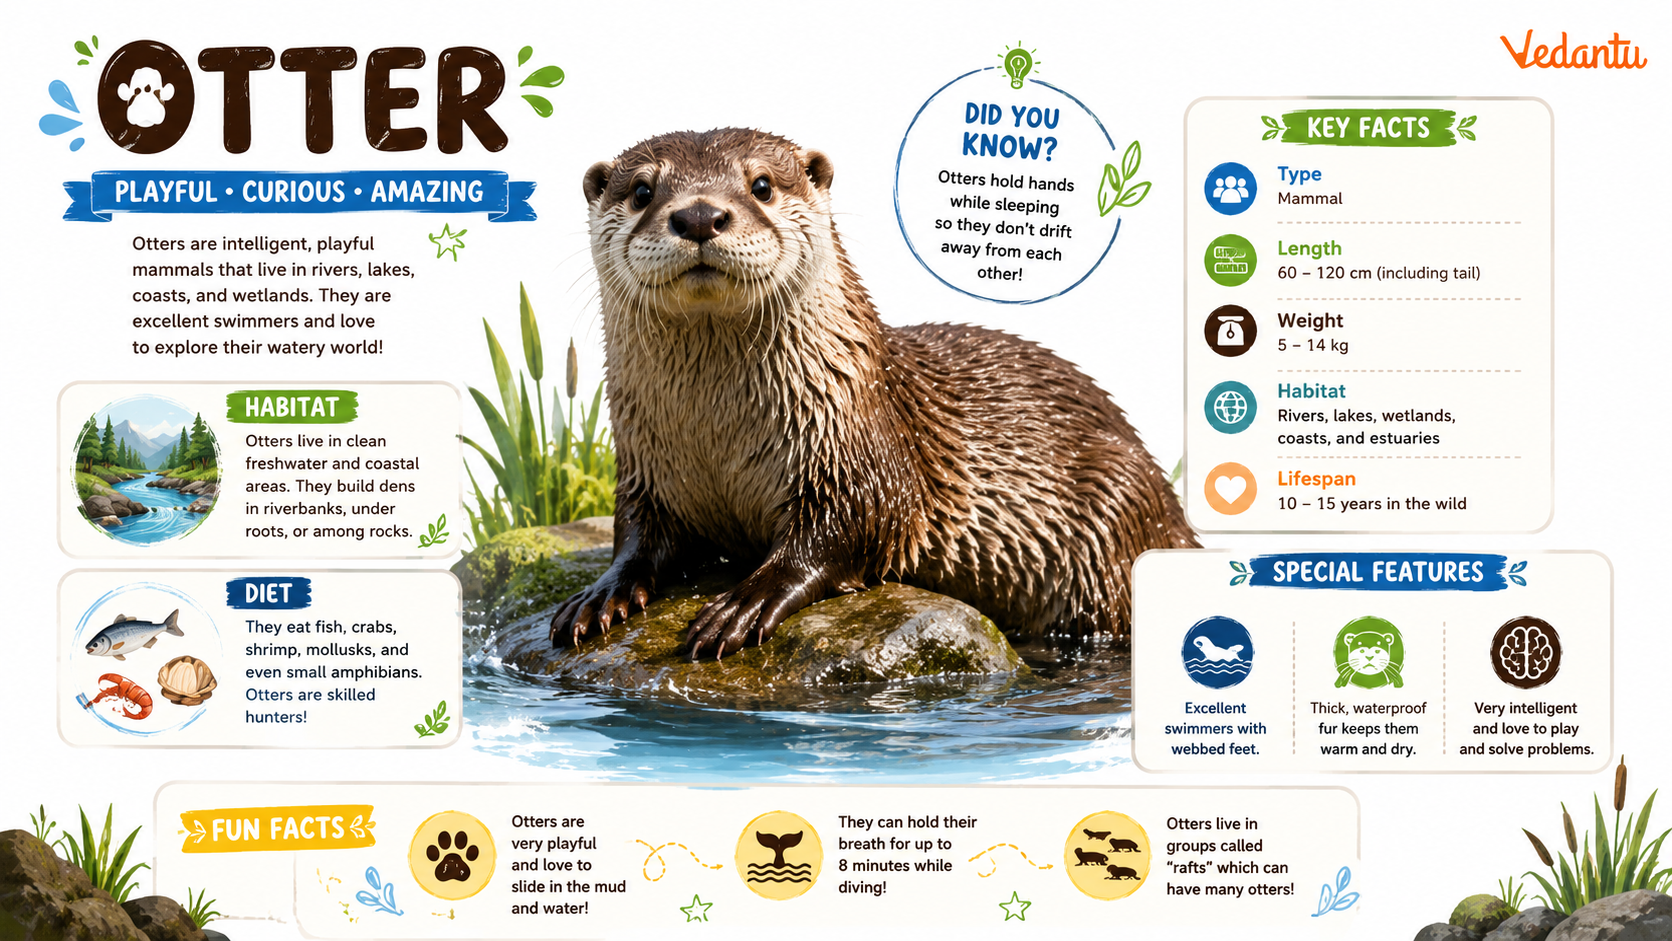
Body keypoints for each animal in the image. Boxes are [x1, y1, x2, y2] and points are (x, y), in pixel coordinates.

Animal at [549, 128, 1197, 660]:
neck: (716, 437)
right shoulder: (645, 469)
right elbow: (635, 537)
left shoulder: (860, 456)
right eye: (641, 190)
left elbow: (851, 529)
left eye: (761, 185)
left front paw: (746, 603)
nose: (701, 214)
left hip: (1115, 516)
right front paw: (599, 594)